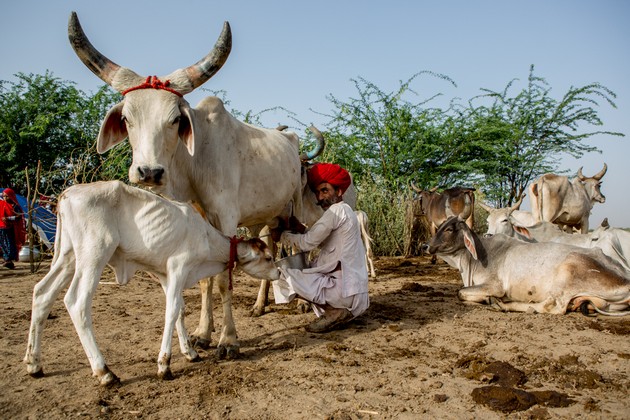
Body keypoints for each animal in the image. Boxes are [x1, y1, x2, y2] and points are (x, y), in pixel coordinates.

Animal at [23, 181, 278, 388]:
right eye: (268, 258)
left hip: (68, 256)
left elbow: (180, 311)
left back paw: (34, 363)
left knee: (42, 292)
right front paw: (164, 364)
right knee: (76, 303)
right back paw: (105, 372)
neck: (206, 237)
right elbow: (171, 311)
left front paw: (189, 352)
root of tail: (67, 193)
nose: (277, 272)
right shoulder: (178, 266)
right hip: (94, 255)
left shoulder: (166, 276)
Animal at [424, 217, 630, 316]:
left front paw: (488, 299)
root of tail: (625, 279)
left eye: (449, 229)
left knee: (551, 306)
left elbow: (460, 292)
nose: (426, 245)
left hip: (567, 273)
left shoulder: (494, 285)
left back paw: (503, 304)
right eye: (440, 226)